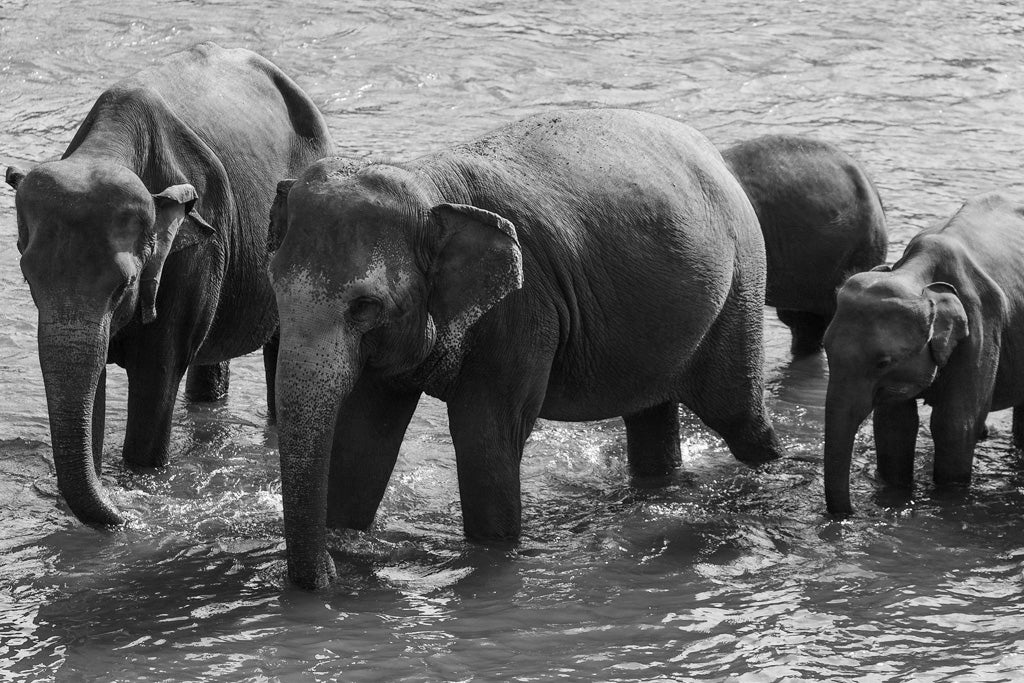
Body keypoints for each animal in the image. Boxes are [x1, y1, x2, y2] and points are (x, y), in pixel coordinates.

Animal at [4, 42, 331, 528]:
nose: (128, 515)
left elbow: (156, 377)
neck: (106, 148)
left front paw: (139, 480)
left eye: (125, 285)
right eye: (28, 278)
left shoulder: (193, 255)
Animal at [270, 109, 782, 589]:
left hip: (741, 284)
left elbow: (486, 434)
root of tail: (714, 155)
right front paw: (346, 548)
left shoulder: (523, 310)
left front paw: (492, 558)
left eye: (365, 306)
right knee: (651, 415)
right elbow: (364, 438)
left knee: (738, 415)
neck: (428, 183)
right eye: (274, 287)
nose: (328, 574)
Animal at [819, 191, 1024, 511]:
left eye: (883, 362)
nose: (852, 512)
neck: (916, 275)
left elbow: (955, 425)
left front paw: (948, 498)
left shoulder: (982, 327)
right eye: (826, 349)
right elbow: (894, 426)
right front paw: (895, 495)